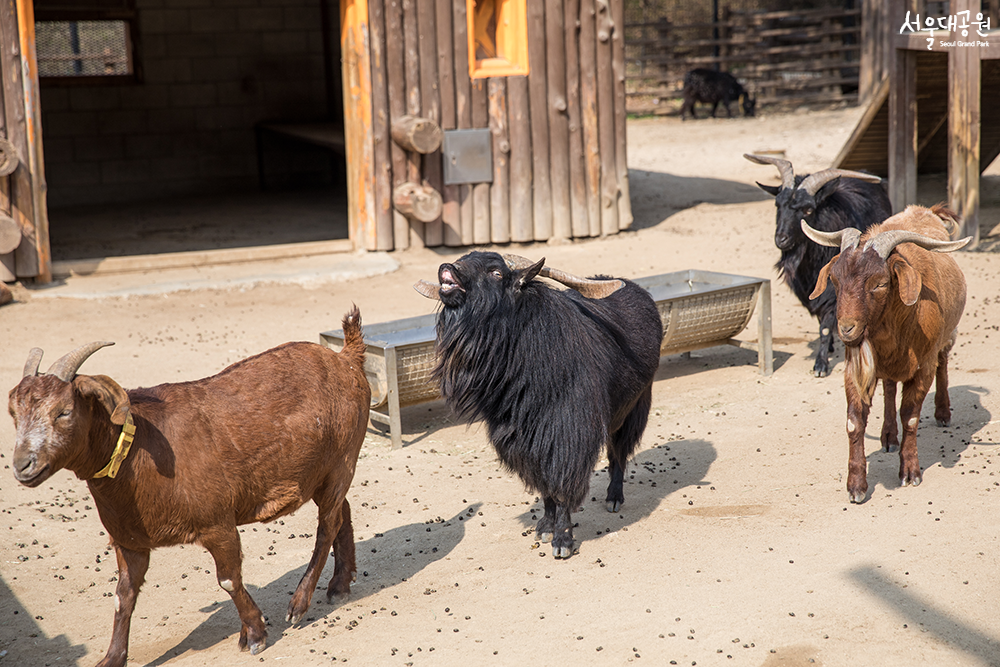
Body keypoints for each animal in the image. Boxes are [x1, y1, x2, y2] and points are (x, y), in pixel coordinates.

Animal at [5, 310, 372, 667]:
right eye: (13, 413)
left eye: (64, 411)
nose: (23, 465)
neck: (137, 452)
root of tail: (346, 357)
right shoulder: (129, 541)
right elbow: (123, 596)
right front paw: (112, 658)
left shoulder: (217, 523)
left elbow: (228, 579)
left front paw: (255, 634)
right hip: (324, 471)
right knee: (342, 512)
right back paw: (340, 585)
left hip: (343, 458)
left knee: (327, 525)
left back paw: (299, 603)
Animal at [414, 253, 664, 560]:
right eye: (464, 258)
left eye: (496, 272)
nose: (449, 269)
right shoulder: (524, 441)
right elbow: (544, 486)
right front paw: (545, 527)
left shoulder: (568, 435)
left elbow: (563, 485)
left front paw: (562, 540)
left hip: (633, 409)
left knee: (619, 452)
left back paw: (614, 498)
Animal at [744, 153, 892, 378]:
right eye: (778, 205)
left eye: (808, 209)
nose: (781, 239)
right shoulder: (807, 289)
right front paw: (826, 350)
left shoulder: (837, 289)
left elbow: (826, 325)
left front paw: (820, 365)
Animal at [804, 206, 968, 504]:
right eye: (834, 279)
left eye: (879, 284)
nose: (846, 328)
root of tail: (925, 211)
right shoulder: (853, 368)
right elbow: (854, 422)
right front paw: (856, 486)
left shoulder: (923, 366)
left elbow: (911, 417)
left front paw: (910, 473)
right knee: (890, 386)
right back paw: (889, 436)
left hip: (948, 335)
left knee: (943, 361)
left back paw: (942, 412)